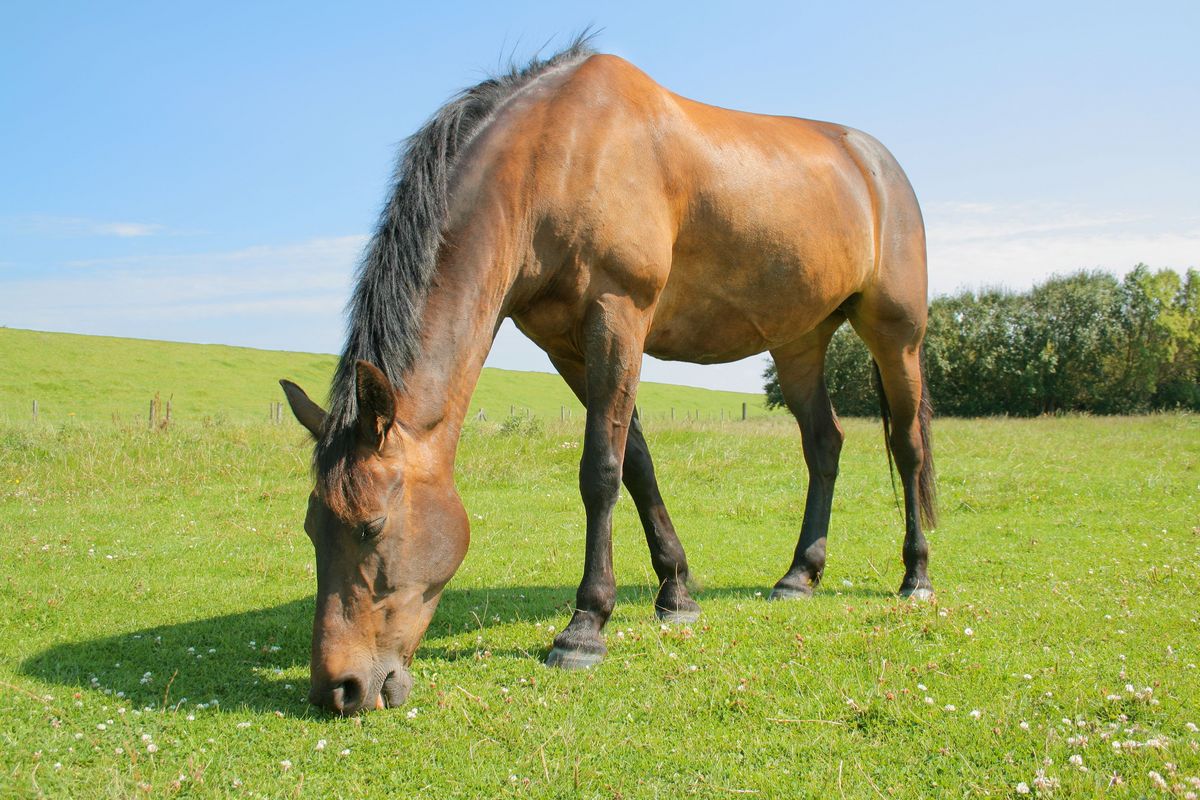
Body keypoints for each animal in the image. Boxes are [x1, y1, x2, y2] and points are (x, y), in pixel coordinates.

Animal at [278, 35, 936, 719]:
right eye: (311, 528)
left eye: (370, 527)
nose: (340, 689)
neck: (557, 156)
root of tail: (877, 163)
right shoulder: (566, 346)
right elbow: (637, 464)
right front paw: (676, 592)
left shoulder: (618, 315)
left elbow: (601, 471)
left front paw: (585, 627)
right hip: (799, 340)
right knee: (824, 444)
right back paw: (799, 575)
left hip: (896, 335)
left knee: (908, 446)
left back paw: (915, 576)